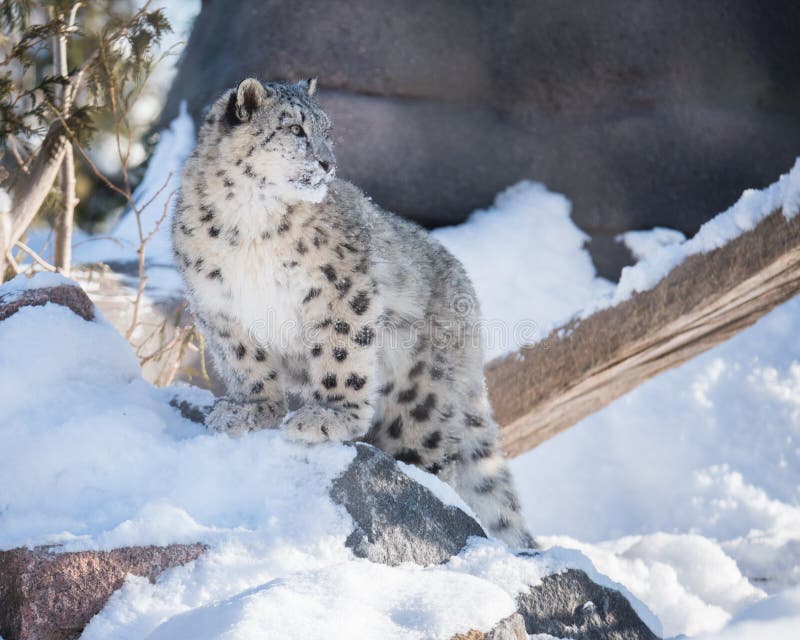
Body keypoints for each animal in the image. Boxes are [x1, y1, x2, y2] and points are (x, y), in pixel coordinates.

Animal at [176, 77, 536, 548]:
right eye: (295, 129)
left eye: (328, 131)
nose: (328, 164)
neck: (250, 221)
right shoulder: (219, 306)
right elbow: (244, 362)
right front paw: (250, 410)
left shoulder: (340, 289)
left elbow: (340, 354)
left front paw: (330, 418)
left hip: (418, 402)